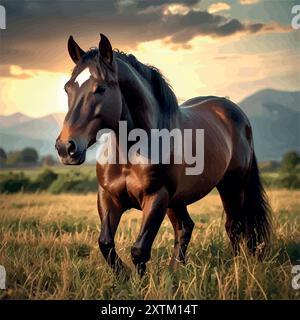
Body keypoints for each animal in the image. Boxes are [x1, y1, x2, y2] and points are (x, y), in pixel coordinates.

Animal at [55, 34, 272, 276]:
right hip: (178, 200)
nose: (66, 148)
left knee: (235, 227)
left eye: (100, 88)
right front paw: (123, 277)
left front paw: (137, 281)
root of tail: (235, 112)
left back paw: (237, 267)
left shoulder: (156, 197)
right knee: (185, 227)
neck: (131, 151)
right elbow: (105, 243)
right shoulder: (109, 197)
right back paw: (175, 272)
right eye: (67, 88)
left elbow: (139, 250)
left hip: (232, 186)